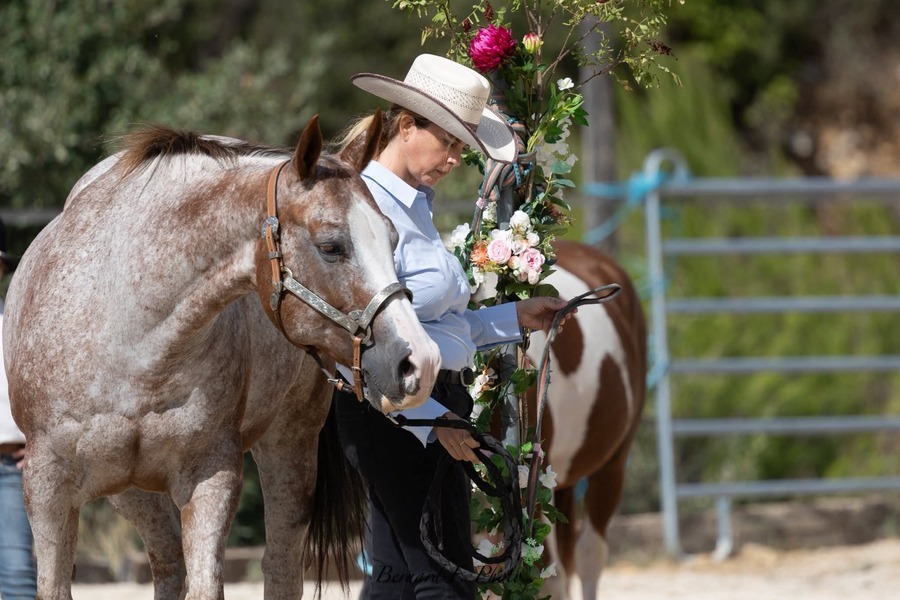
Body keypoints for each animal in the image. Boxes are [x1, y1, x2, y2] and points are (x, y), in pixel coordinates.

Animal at [2, 114, 442, 600]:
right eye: (331, 246)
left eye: (392, 237)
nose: (419, 362)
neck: (127, 331)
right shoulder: (47, 486)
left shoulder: (210, 475)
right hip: (129, 489)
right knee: (168, 563)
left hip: (289, 445)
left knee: (280, 568)